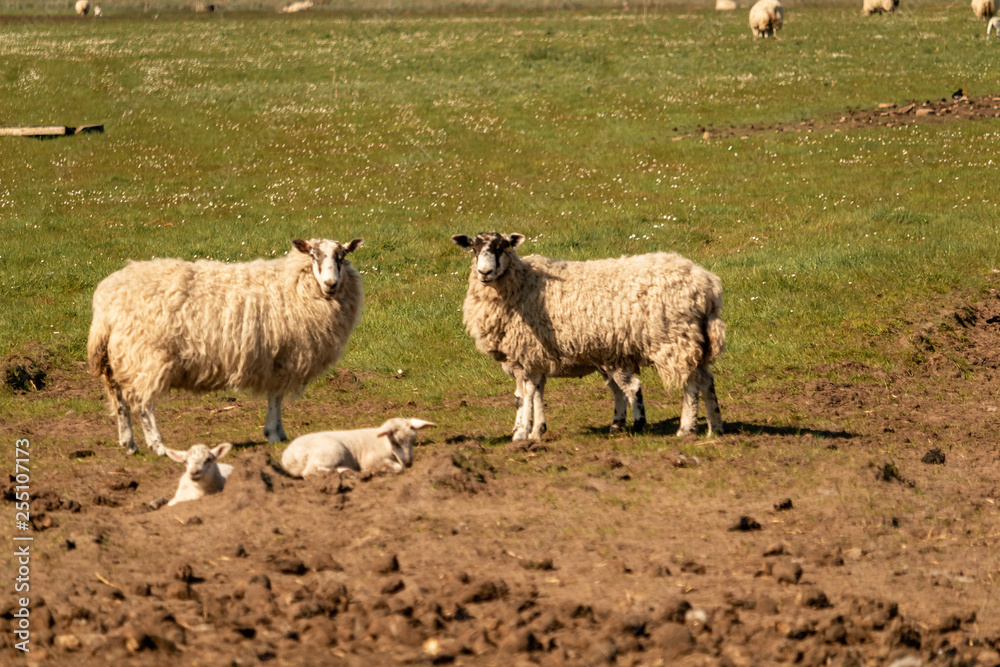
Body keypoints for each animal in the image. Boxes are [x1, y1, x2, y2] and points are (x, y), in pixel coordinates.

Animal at [88, 237, 364, 456]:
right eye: (313, 255)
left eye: (342, 256)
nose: (331, 284)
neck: (295, 283)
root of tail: (106, 302)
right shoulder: (283, 356)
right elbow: (275, 397)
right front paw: (274, 433)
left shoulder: (276, 359)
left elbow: (276, 398)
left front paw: (279, 432)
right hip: (147, 356)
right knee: (144, 404)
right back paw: (158, 446)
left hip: (118, 358)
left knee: (119, 400)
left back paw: (129, 444)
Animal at [281, 418, 435, 478]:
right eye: (396, 442)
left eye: (413, 441)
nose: (409, 463)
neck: (384, 443)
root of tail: (290, 456)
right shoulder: (370, 460)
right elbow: (398, 468)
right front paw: (378, 470)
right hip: (331, 451)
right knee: (310, 472)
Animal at [452, 232, 725, 441]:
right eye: (474, 248)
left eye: (502, 247)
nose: (484, 272)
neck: (521, 282)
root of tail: (707, 285)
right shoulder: (534, 357)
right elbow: (534, 392)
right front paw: (536, 430)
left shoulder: (526, 354)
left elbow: (524, 396)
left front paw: (522, 433)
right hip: (695, 339)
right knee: (706, 380)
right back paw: (715, 427)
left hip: (674, 340)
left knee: (690, 384)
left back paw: (685, 429)